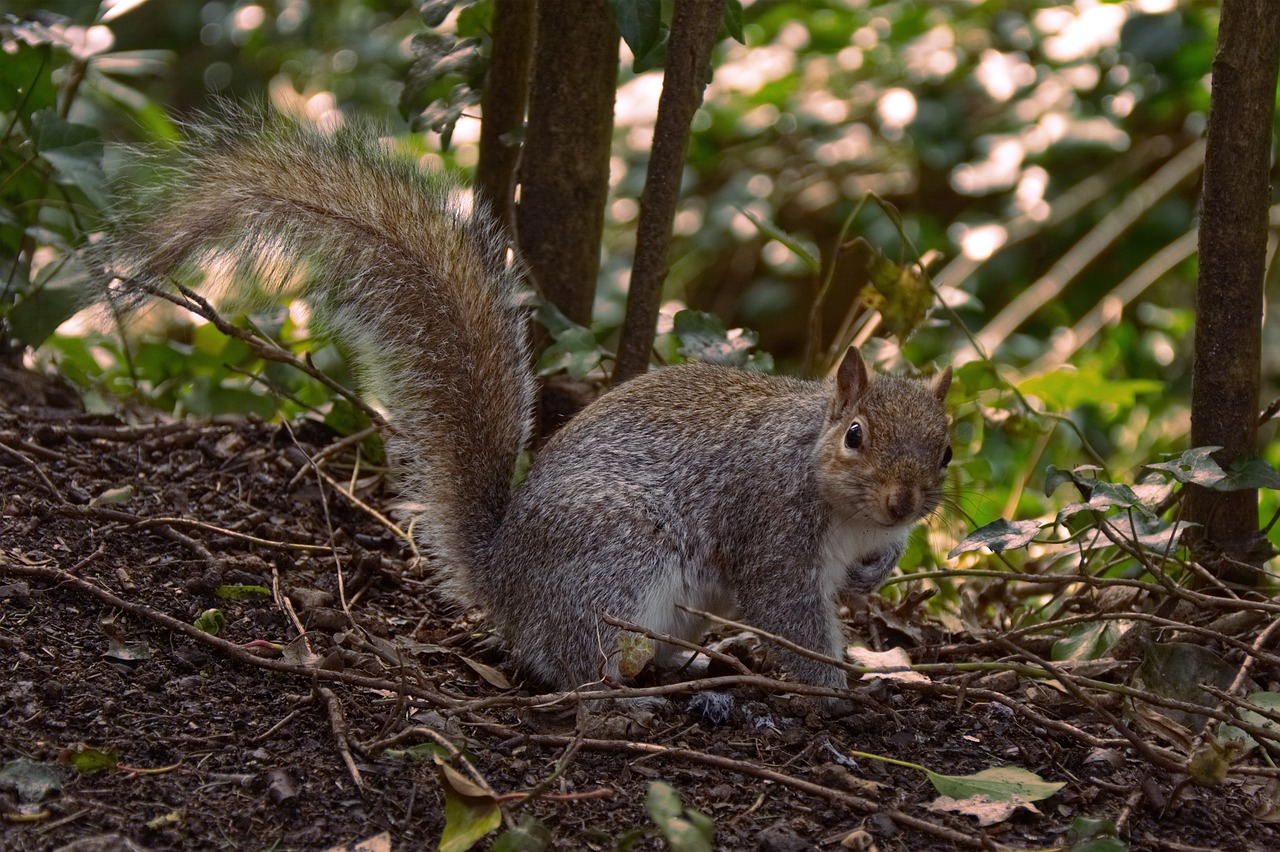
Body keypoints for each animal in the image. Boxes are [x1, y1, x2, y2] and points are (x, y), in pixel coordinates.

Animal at [102, 108, 952, 695]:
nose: (904, 501)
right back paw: (623, 700)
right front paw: (835, 690)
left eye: (946, 450)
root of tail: (504, 580)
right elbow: (789, 615)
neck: (832, 492)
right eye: (854, 435)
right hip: (616, 565)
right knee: (576, 660)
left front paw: (877, 575)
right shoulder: (771, 527)